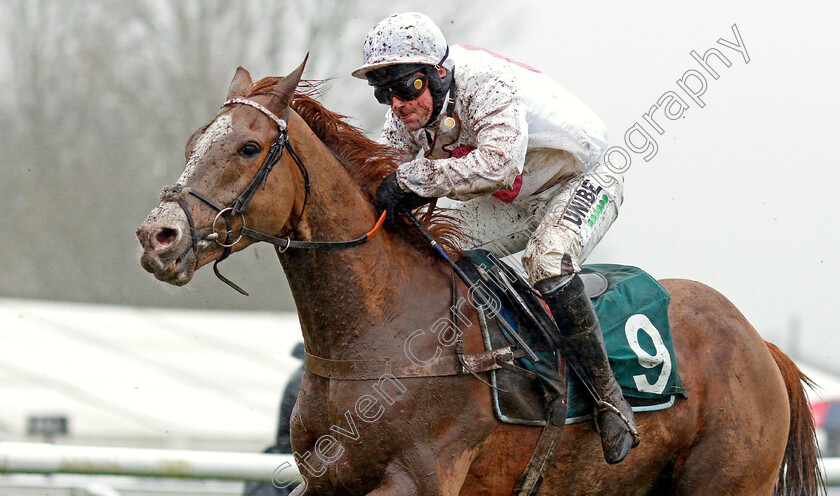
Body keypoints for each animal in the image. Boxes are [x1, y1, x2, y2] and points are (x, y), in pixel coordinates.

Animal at [136, 59, 820, 496]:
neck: (382, 329)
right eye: (196, 142)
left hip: (726, 481)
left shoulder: (418, 480)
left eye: (248, 148)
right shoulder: (327, 481)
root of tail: (763, 346)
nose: (157, 236)